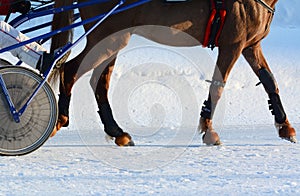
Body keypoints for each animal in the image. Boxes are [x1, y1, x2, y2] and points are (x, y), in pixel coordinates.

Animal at [50, 0, 296, 145]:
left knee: (99, 81)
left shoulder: (250, 45)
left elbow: (269, 80)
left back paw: (116, 131)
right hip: (108, 37)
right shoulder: (233, 45)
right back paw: (62, 118)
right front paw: (209, 131)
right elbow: (217, 86)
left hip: (112, 38)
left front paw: (285, 126)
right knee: (71, 69)